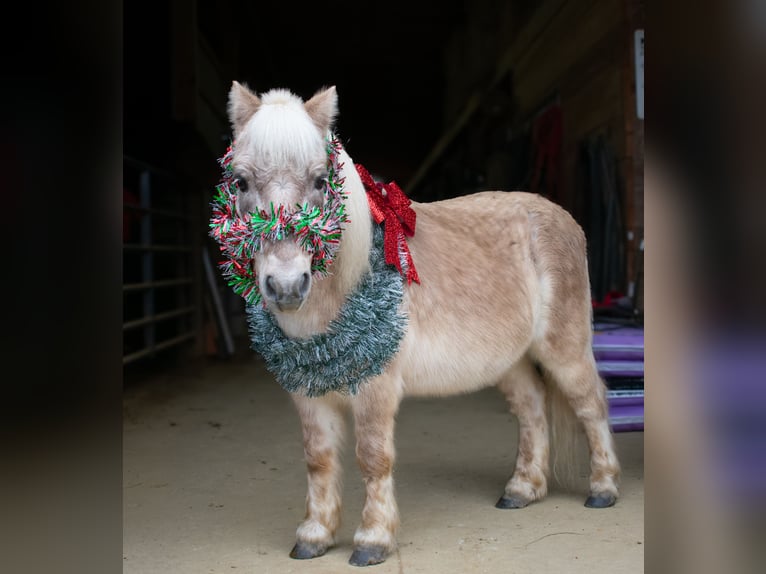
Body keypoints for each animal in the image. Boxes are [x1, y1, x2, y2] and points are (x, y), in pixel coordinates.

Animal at [213, 83, 620, 568]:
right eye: (240, 181)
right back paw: (522, 489)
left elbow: (372, 458)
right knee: (533, 407)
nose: (288, 286)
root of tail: (561, 217)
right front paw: (314, 535)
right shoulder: (309, 395)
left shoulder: (375, 389)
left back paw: (603, 488)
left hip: (564, 348)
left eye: (319, 181)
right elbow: (319, 460)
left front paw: (373, 540)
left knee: (591, 403)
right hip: (511, 359)